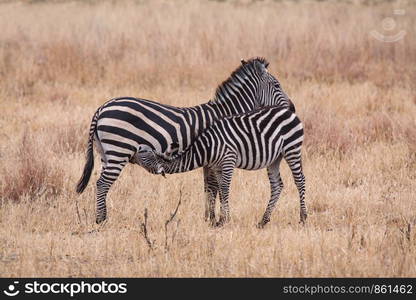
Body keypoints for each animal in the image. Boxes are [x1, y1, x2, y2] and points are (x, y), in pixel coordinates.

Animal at [136, 106, 306, 227]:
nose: (135, 150)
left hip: (292, 148)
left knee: (300, 180)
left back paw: (303, 218)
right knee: (277, 185)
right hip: (275, 158)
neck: (206, 149)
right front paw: (220, 219)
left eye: (143, 156)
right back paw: (263, 221)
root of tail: (288, 111)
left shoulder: (228, 160)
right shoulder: (217, 167)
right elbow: (219, 189)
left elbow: (224, 188)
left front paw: (224, 220)